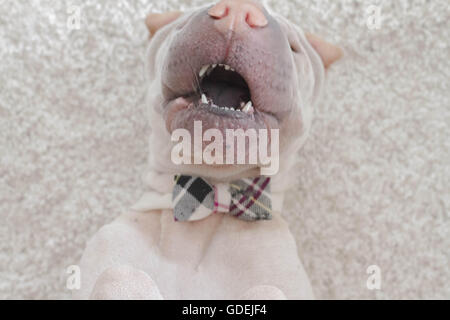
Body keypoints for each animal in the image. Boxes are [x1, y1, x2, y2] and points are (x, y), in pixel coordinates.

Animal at [74, 0, 342, 300]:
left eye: (294, 48)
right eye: (182, 23)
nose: (237, 10)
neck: (207, 197)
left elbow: (268, 289)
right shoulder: (109, 251)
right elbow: (119, 273)